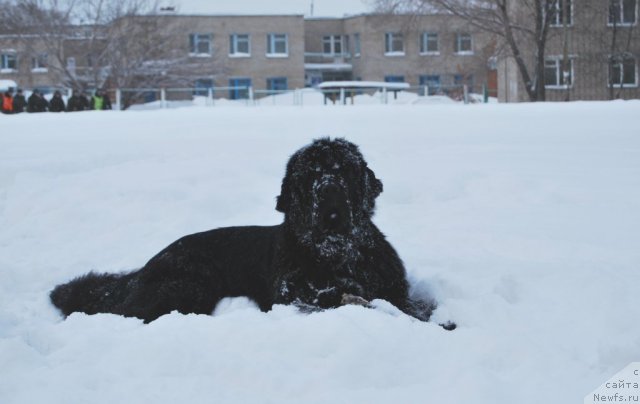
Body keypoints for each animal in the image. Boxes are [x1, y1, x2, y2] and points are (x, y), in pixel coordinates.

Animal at [50, 139, 450, 328]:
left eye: (344, 170)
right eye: (309, 174)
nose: (329, 191)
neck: (337, 253)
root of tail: (142, 270)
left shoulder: (394, 287)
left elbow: (409, 305)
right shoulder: (294, 295)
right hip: (188, 284)